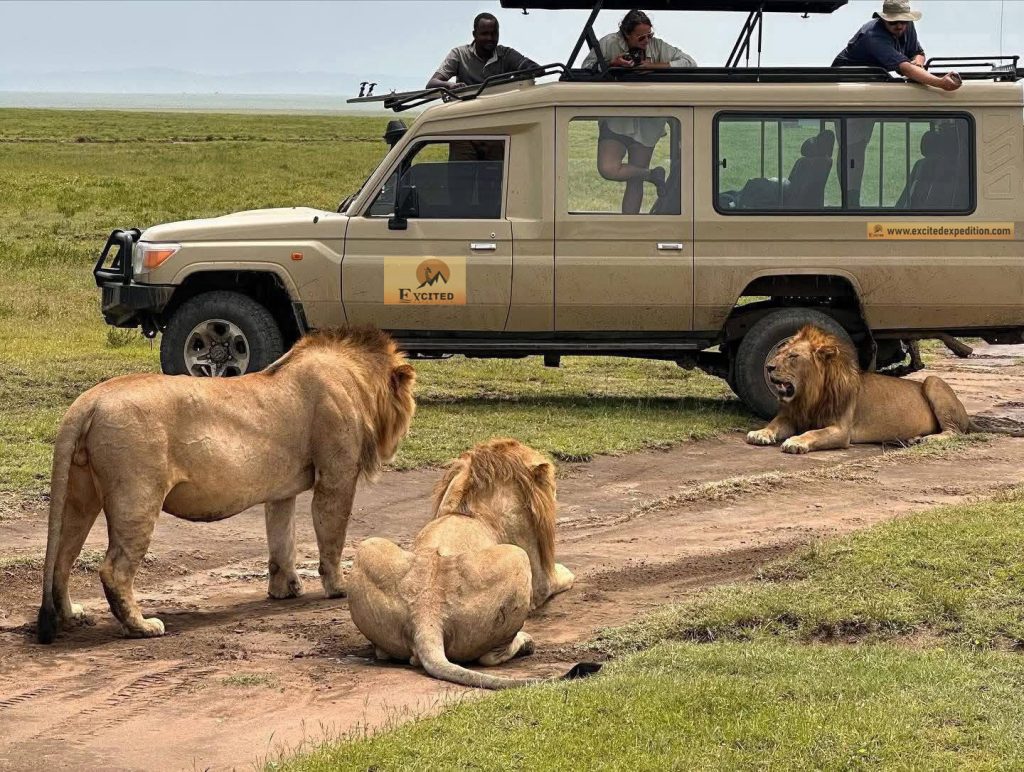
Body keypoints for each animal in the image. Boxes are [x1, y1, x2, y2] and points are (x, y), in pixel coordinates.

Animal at [37, 327, 416, 644]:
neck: (353, 375)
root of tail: (89, 401)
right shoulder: (337, 476)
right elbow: (332, 536)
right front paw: (338, 588)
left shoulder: (282, 491)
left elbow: (282, 538)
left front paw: (285, 589)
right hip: (138, 496)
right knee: (113, 570)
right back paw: (142, 627)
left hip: (80, 496)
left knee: (62, 558)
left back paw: (72, 616)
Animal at [347, 438, 588, 690]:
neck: (469, 508)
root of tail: (427, 613)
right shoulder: (540, 579)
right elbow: (559, 578)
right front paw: (567, 571)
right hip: (518, 557)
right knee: (489, 657)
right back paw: (526, 643)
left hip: (368, 546)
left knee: (385, 652)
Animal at [746, 325, 1020, 454]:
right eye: (780, 351)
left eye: (793, 356)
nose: (768, 367)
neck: (809, 395)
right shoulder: (791, 415)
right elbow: (773, 424)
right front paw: (760, 433)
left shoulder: (841, 431)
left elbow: (814, 433)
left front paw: (795, 442)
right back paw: (913, 439)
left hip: (933, 381)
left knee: (955, 432)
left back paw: (927, 439)